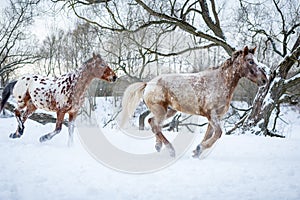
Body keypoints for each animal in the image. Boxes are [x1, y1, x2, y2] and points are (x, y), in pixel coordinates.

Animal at [120, 46, 268, 158]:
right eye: (250, 61)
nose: (264, 80)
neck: (220, 82)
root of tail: (148, 84)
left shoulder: (215, 117)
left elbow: (210, 134)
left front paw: (197, 151)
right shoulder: (211, 114)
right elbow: (218, 133)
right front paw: (199, 149)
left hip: (169, 111)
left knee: (153, 122)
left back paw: (159, 146)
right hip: (161, 110)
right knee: (154, 125)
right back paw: (171, 150)